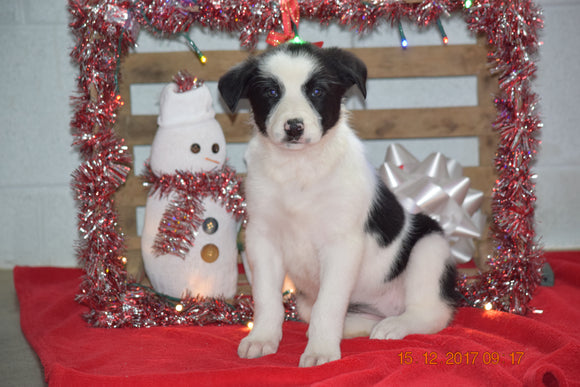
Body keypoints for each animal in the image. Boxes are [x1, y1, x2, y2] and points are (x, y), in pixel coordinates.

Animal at [218, 44, 458, 368]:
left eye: (317, 91)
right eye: (271, 92)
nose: (294, 127)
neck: (298, 168)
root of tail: (388, 308)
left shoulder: (341, 244)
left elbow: (328, 304)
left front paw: (320, 351)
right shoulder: (262, 238)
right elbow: (267, 298)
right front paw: (262, 337)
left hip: (429, 245)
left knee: (433, 312)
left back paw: (395, 325)